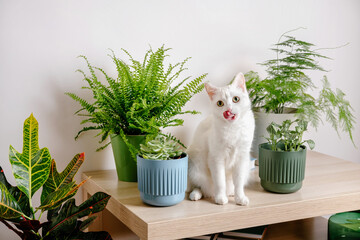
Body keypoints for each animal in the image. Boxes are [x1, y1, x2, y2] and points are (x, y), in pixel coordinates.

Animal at [187, 72, 255, 205]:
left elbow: (238, 182)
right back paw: (196, 195)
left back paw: (231, 193)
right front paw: (220, 198)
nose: (228, 110)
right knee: (198, 186)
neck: (233, 127)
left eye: (236, 99)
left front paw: (240, 198)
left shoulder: (241, 158)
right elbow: (220, 181)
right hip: (196, 166)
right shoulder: (216, 158)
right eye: (220, 103)